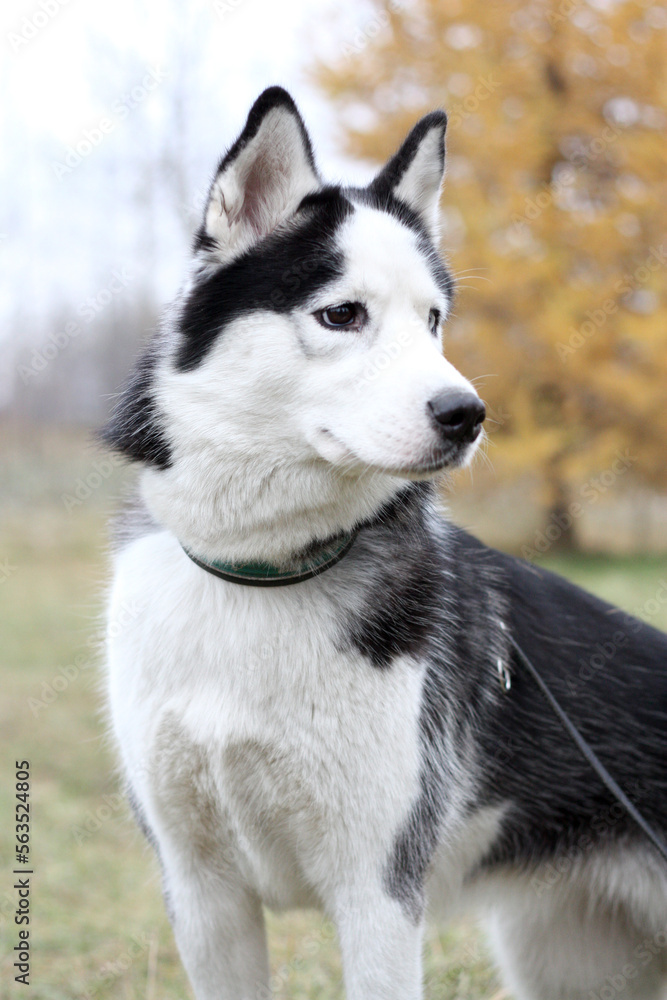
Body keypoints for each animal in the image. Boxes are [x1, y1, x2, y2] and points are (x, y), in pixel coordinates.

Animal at [103, 88, 667, 1000]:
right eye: (342, 314)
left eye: (433, 320)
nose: (467, 414)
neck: (261, 573)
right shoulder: (201, 893)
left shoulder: (378, 893)